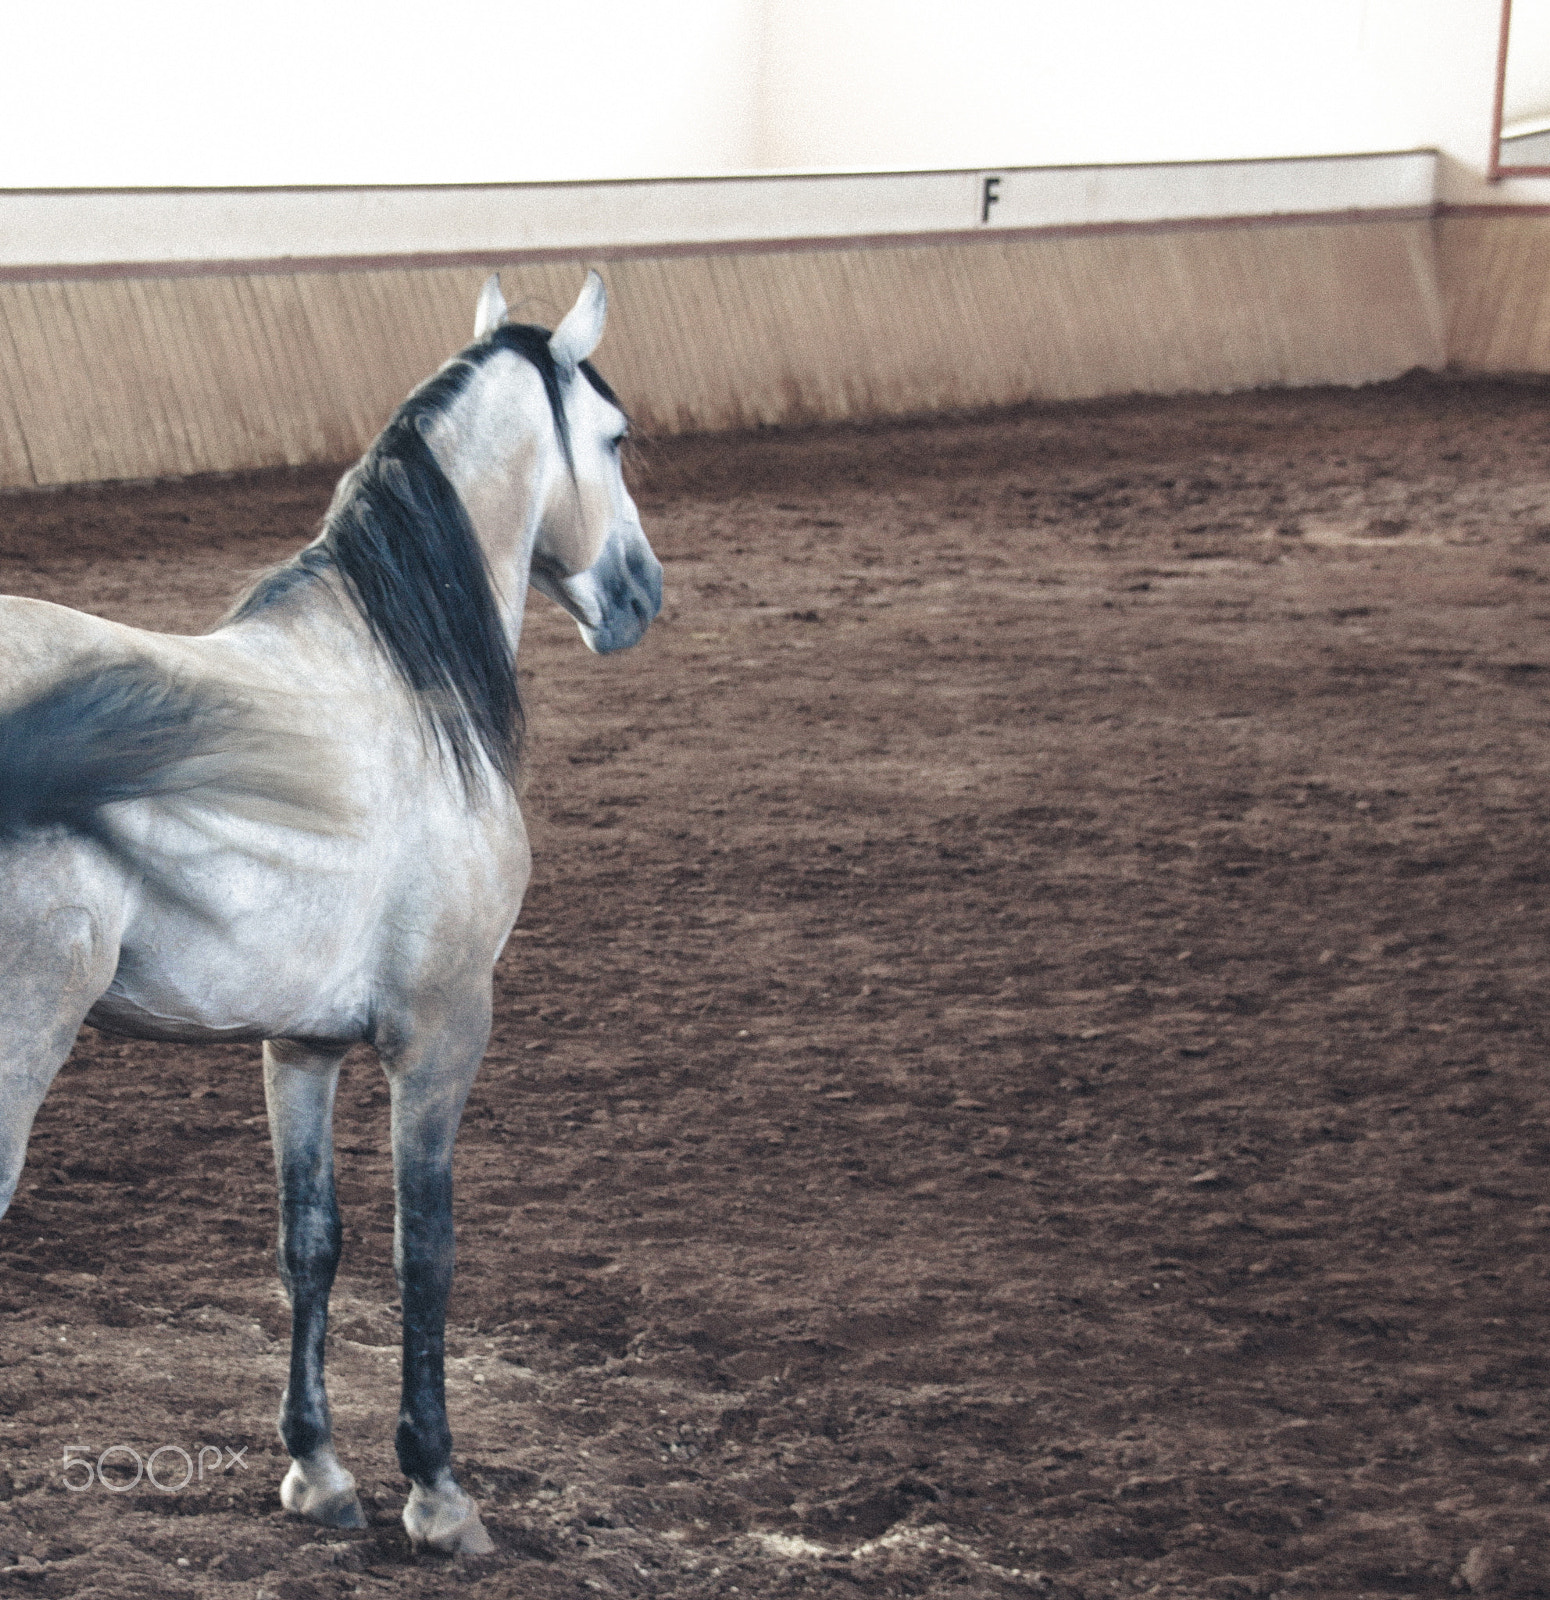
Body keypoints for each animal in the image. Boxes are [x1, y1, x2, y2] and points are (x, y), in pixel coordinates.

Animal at [0, 270, 662, 1555]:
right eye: (614, 439)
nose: (639, 596)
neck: (394, 675)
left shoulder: (296, 1044)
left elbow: (309, 1241)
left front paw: (318, 1469)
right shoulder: (443, 1031)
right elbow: (423, 1249)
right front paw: (436, 1490)